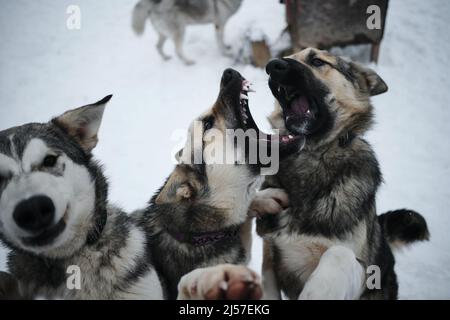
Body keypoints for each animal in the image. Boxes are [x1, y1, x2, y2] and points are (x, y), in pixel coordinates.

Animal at [251, 48, 430, 300]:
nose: (272, 65)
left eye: (317, 61)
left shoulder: (360, 267)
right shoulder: (270, 252)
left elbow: (337, 255)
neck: (312, 153)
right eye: (289, 57)